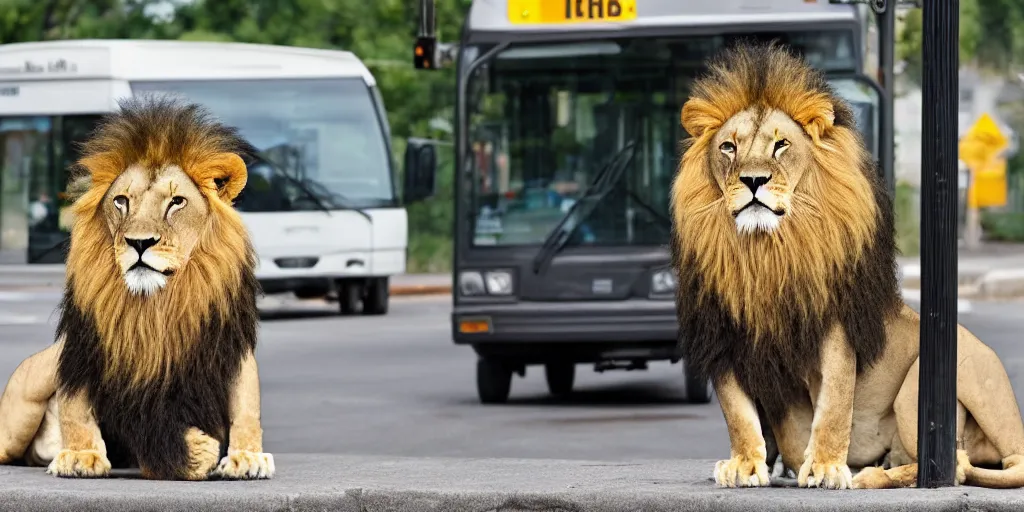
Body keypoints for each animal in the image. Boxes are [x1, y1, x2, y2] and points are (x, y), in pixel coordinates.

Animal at [0, 95, 274, 479]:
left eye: (176, 202)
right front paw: (81, 455)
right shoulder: (83, 351)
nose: (139, 242)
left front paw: (246, 456)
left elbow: (247, 407)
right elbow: (75, 405)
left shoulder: (229, 350)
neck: (156, 305)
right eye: (121, 201)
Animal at [671, 41, 1024, 489]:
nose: (753, 180)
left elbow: (836, 402)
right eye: (728, 148)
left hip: (927, 387)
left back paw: (867, 475)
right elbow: (737, 412)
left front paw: (825, 467)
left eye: (781, 145)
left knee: (956, 462)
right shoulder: (722, 333)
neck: (765, 253)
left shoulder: (837, 324)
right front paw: (745, 464)